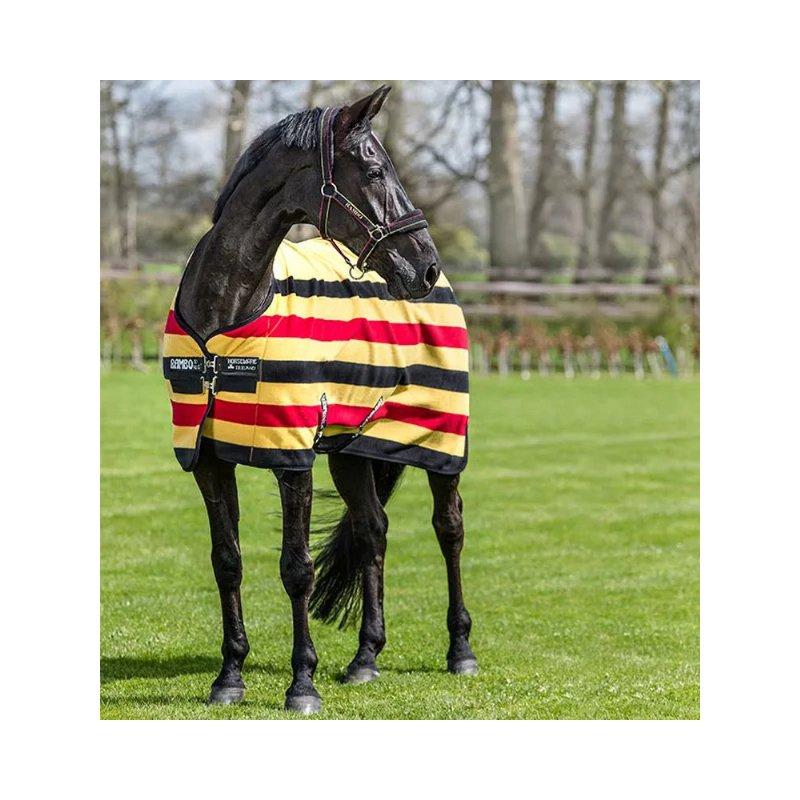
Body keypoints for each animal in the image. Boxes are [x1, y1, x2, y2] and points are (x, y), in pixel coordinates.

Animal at [167, 86, 477, 714]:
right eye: (376, 170)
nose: (425, 265)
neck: (227, 313)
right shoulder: (208, 460)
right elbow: (227, 562)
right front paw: (229, 677)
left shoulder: (294, 461)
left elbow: (296, 568)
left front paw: (301, 684)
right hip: (353, 450)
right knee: (372, 530)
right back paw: (365, 659)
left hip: (441, 441)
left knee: (449, 528)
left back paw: (460, 651)